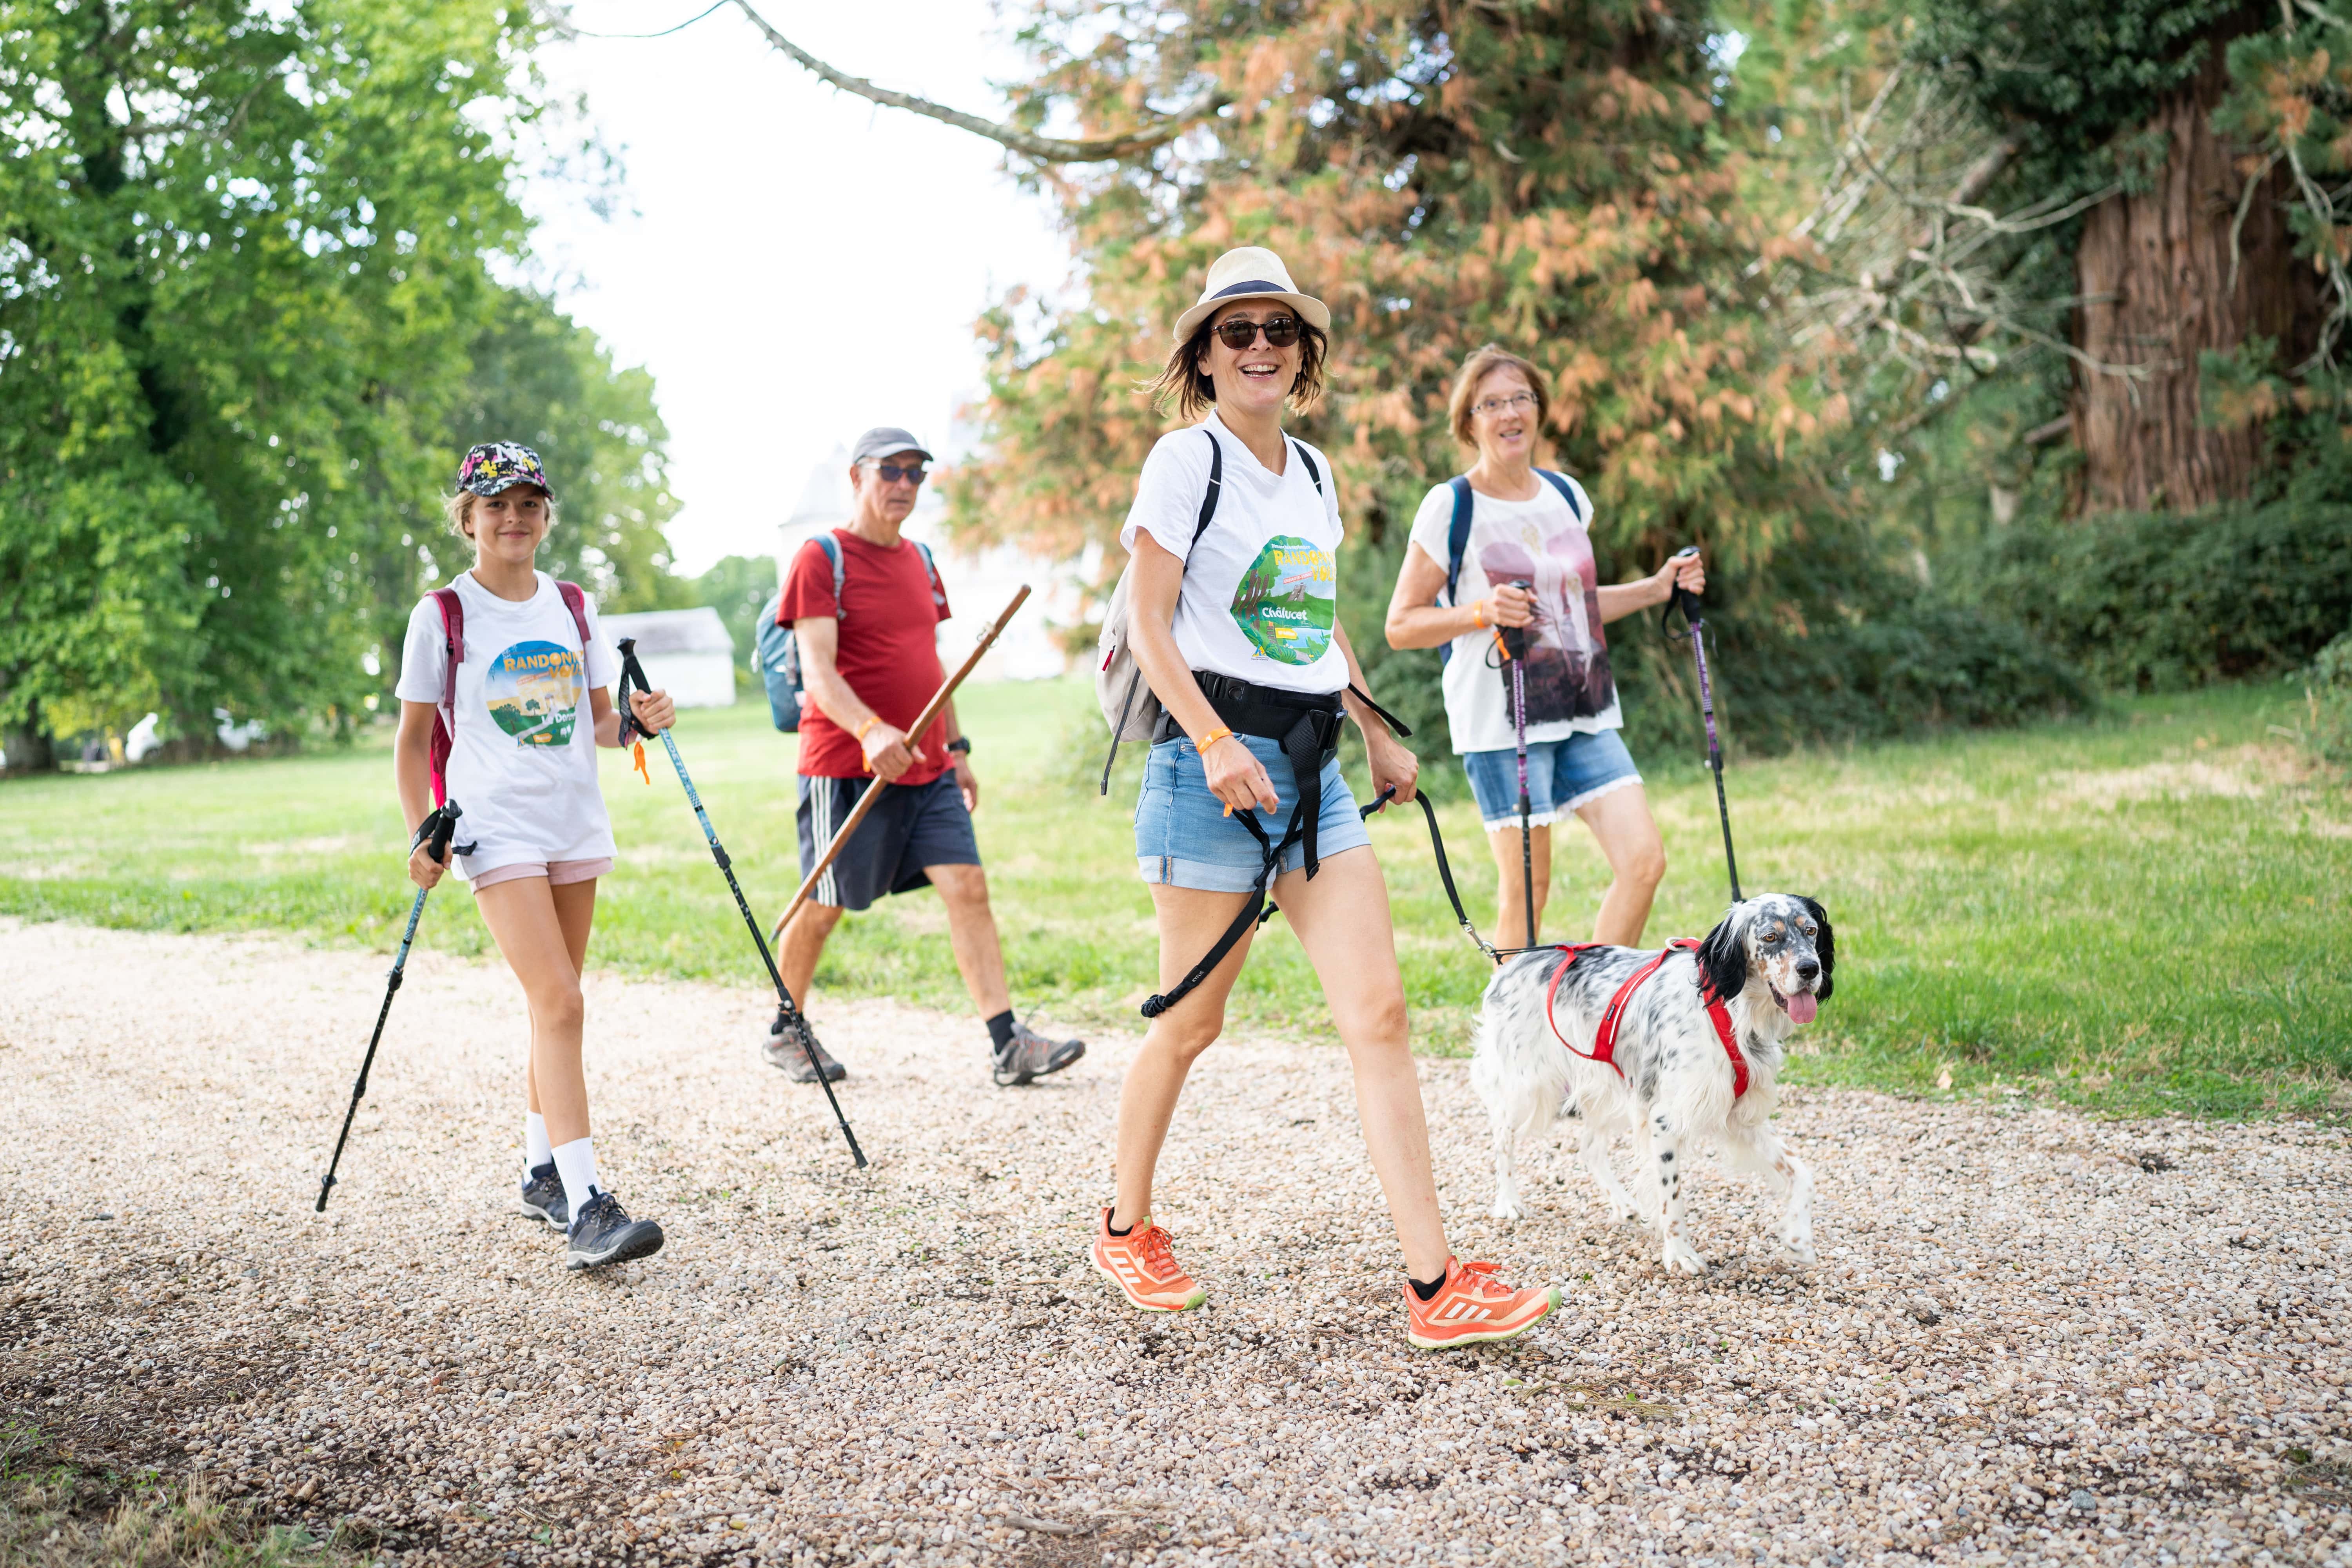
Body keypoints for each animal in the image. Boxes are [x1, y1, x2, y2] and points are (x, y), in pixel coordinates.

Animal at [1468, 893, 1835, 1279]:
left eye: (1811, 931)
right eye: (1769, 937)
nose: (1811, 970)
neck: (1730, 1009)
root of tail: (1510, 963)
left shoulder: (1740, 1117)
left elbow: (1802, 1173)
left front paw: (1799, 1239)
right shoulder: (1665, 1118)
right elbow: (1671, 1194)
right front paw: (1680, 1253)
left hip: (1608, 1088)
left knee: (1589, 1149)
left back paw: (1622, 1203)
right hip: (1528, 1084)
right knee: (1502, 1140)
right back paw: (1508, 1201)